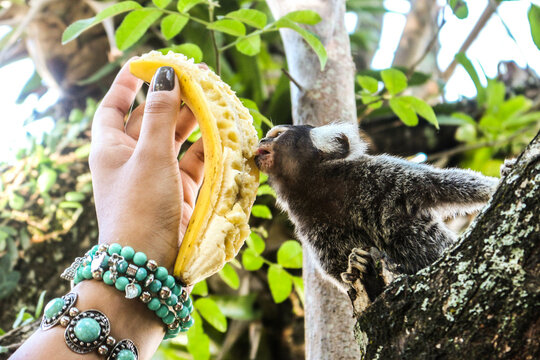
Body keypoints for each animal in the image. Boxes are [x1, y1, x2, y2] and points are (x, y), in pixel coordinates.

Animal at [255, 124, 500, 296]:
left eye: (277, 134)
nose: (262, 139)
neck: (318, 188)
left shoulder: (378, 173)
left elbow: (444, 186)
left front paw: (498, 182)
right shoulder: (308, 223)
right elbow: (335, 266)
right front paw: (356, 264)